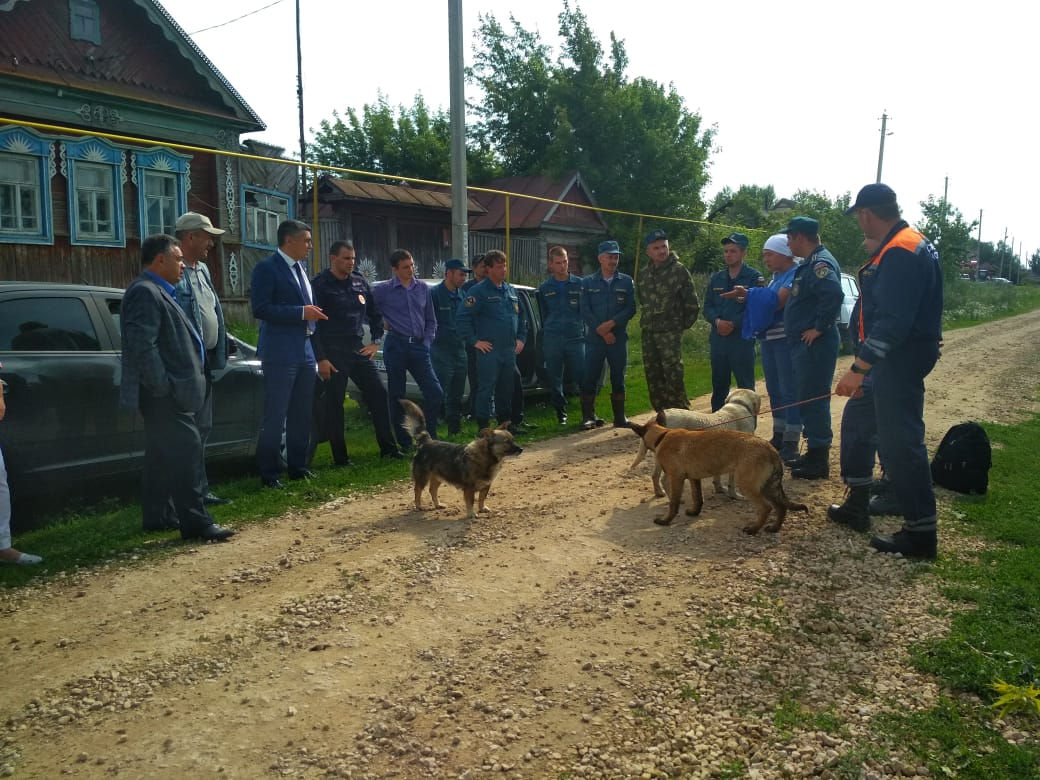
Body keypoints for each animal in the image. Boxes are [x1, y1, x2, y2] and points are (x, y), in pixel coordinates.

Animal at [624, 418, 802, 536]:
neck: (662, 435)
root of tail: (770, 449)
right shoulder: (694, 479)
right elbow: (698, 498)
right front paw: (694, 512)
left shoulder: (676, 479)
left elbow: (674, 504)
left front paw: (665, 521)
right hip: (768, 487)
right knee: (781, 507)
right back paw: (774, 528)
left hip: (748, 485)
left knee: (766, 508)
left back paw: (753, 529)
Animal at [628, 388, 761, 497]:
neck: (738, 404)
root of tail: (656, 419)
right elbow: (731, 482)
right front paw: (734, 495)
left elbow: (717, 477)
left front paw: (719, 489)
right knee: (664, 479)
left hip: (660, 458)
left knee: (655, 475)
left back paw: (659, 493)